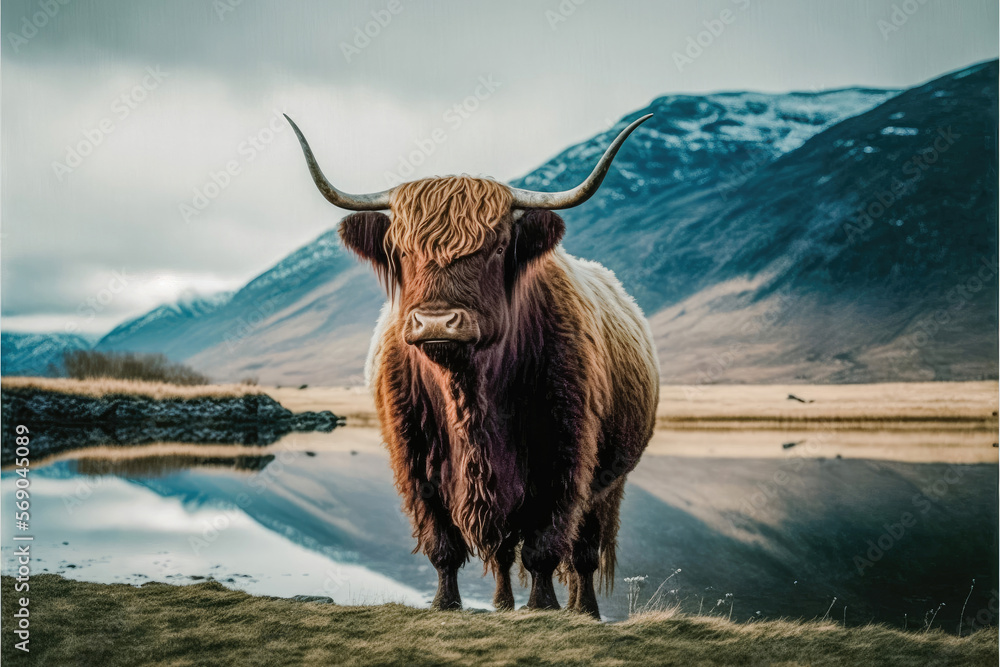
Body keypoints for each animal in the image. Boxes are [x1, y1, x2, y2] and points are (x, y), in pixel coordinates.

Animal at [286, 114, 659, 618]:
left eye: (498, 246)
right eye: (401, 250)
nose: (436, 321)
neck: (469, 389)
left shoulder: (563, 458)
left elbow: (544, 547)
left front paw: (543, 607)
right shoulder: (416, 462)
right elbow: (442, 545)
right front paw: (446, 604)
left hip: (610, 483)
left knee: (583, 552)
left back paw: (584, 610)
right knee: (501, 551)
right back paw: (502, 604)